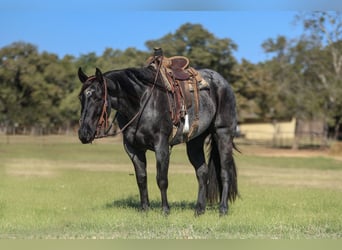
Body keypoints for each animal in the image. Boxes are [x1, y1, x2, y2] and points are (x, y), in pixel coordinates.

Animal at [77, 63, 238, 217]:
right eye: (81, 98)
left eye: (98, 97)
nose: (83, 133)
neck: (141, 102)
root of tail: (223, 82)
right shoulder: (133, 148)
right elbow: (141, 179)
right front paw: (144, 209)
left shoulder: (161, 146)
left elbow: (162, 179)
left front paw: (165, 210)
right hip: (195, 142)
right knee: (202, 173)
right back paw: (199, 210)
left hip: (223, 134)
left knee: (225, 172)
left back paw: (223, 209)